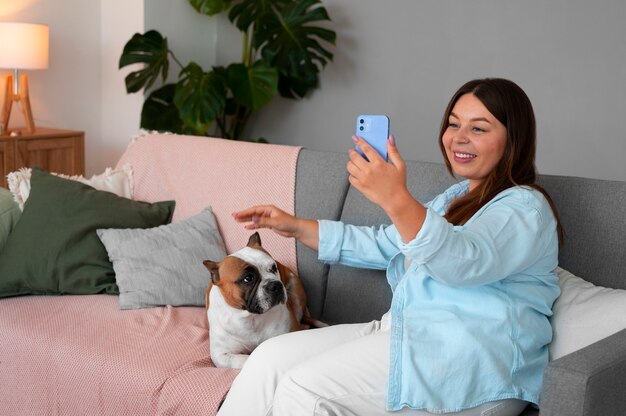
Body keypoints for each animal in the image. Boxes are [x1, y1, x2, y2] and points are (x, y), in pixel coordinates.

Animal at [204, 232, 322, 368]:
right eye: (248, 278)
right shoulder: (221, 355)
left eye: (274, 267)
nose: (275, 285)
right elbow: (245, 360)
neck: (250, 318)